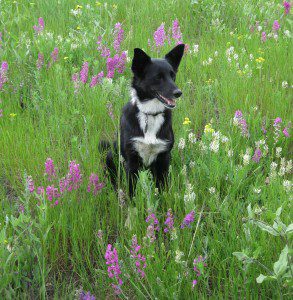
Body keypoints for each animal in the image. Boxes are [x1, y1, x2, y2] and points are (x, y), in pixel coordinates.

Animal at [102, 42, 184, 197]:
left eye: (173, 75)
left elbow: (162, 187)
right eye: (158, 77)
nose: (178, 93)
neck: (151, 114)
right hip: (111, 155)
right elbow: (131, 191)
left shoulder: (164, 158)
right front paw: (131, 203)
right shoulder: (132, 160)